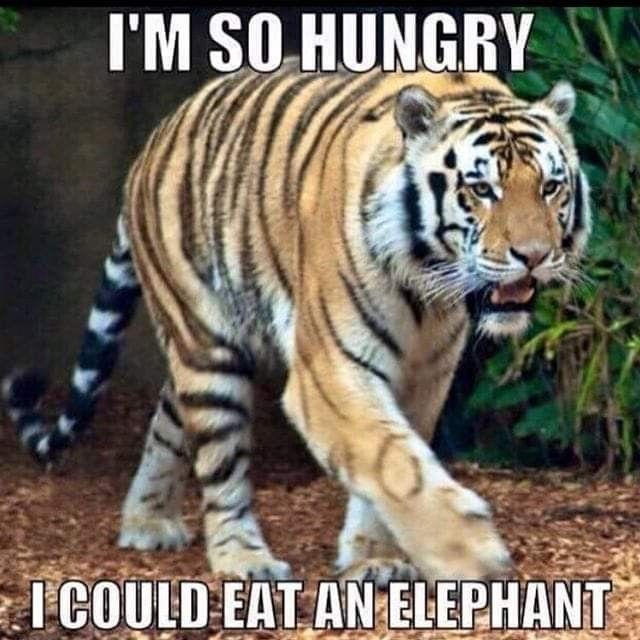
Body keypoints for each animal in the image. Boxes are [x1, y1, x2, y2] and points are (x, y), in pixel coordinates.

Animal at [2, 58, 590, 585]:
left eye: (550, 187)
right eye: (482, 189)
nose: (534, 256)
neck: (425, 282)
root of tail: (151, 146)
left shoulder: (427, 372)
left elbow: (399, 454)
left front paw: (374, 558)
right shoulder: (327, 371)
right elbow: (392, 460)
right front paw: (469, 551)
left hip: (198, 355)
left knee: (168, 421)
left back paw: (147, 520)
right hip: (206, 349)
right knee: (220, 466)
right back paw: (242, 558)